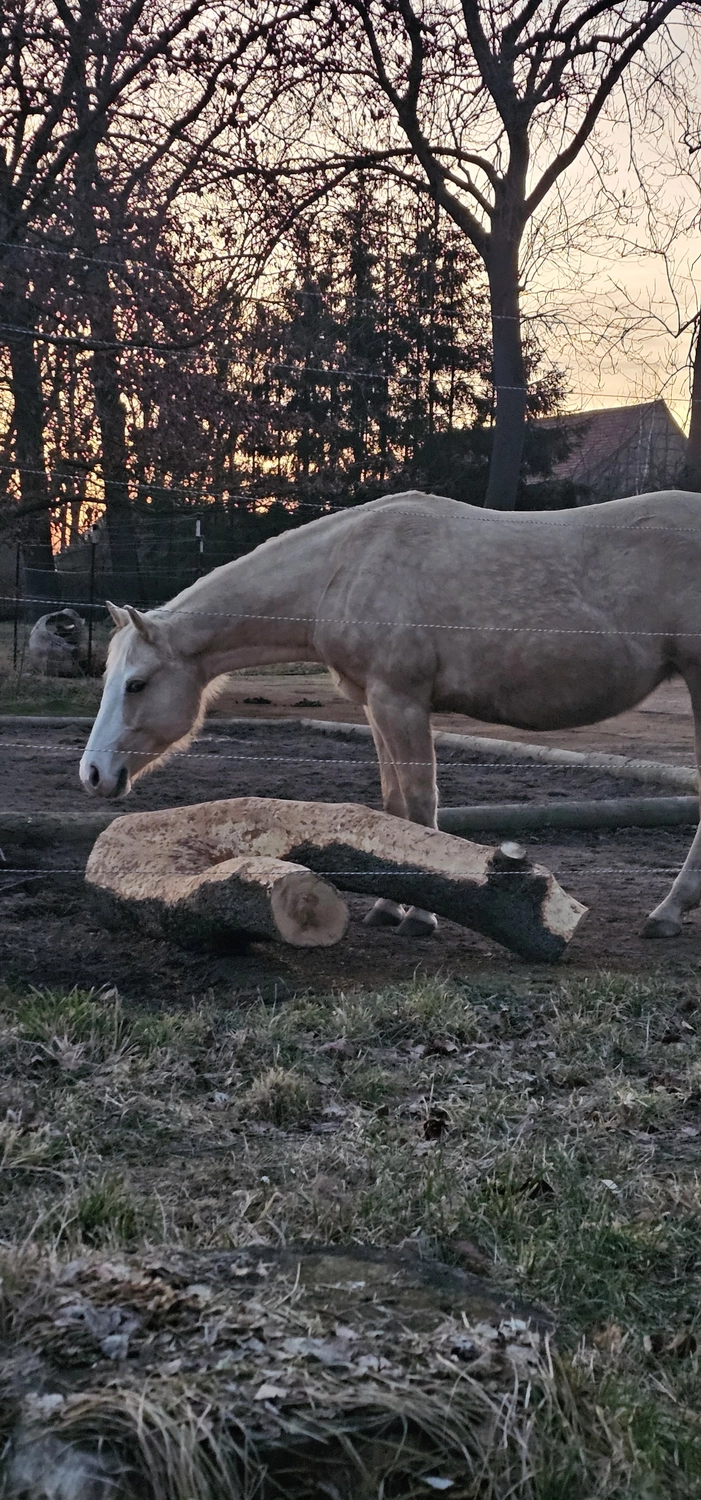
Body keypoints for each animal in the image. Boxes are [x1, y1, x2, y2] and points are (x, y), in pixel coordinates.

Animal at [80, 487, 701, 940]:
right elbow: (392, 808)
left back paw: (668, 913)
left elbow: (419, 806)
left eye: (136, 684)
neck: (343, 567)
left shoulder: (400, 700)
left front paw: (423, 916)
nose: (93, 774)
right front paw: (389, 907)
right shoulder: (374, 705)